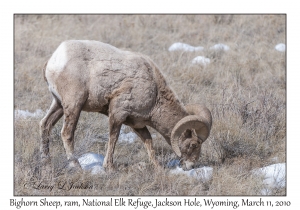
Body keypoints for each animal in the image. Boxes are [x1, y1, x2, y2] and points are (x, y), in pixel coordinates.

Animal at [39, 40, 212, 171]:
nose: (190, 166)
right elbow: (113, 138)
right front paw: (109, 167)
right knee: (66, 133)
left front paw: (158, 167)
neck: (155, 92)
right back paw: (77, 166)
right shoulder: (118, 113)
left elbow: (148, 142)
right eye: (193, 144)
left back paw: (46, 163)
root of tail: (53, 61)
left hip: (58, 104)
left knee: (45, 125)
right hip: (74, 105)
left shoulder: (137, 124)